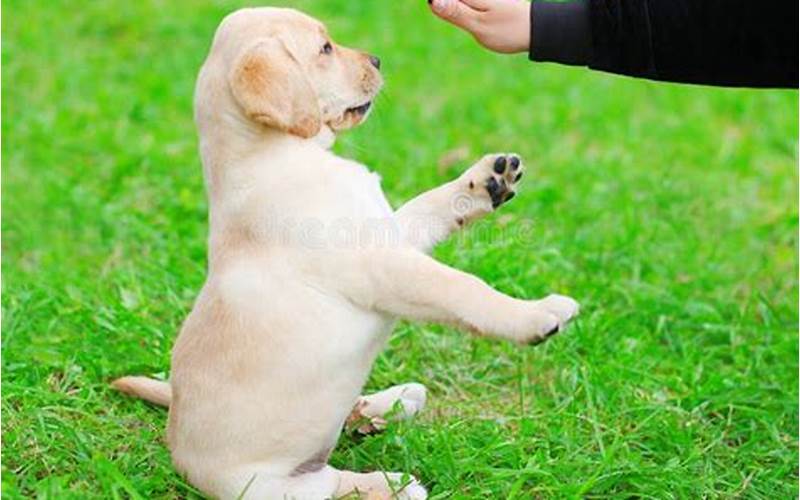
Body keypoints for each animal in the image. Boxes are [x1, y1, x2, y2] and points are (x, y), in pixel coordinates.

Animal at [112, 7, 580, 500]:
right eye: (325, 48)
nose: (377, 60)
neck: (275, 153)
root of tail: (175, 441)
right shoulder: (381, 267)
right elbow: (462, 287)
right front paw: (535, 315)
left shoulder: (389, 232)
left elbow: (431, 204)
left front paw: (484, 183)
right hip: (270, 485)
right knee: (333, 482)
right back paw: (390, 482)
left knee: (360, 417)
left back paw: (383, 405)